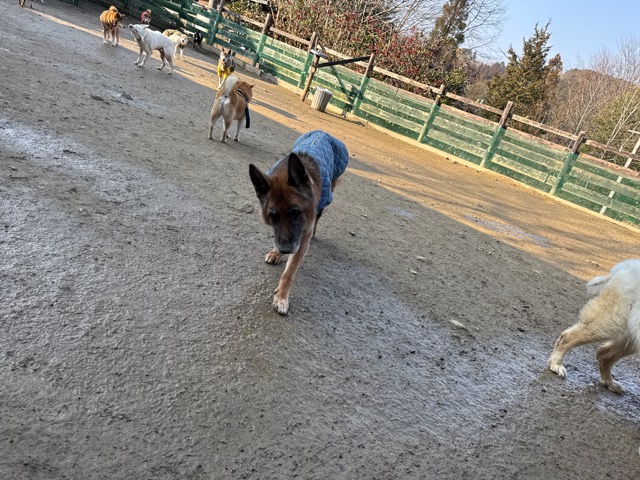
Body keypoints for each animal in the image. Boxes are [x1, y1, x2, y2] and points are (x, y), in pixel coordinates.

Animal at [249, 130, 349, 315]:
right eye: (272, 215)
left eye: (296, 212)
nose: (285, 250)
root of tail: (323, 132)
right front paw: (276, 252)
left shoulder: (302, 237)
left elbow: (289, 271)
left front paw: (281, 297)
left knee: (318, 216)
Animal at [548, 259, 640, 394]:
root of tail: (623, 266)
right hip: (609, 322)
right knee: (567, 338)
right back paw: (556, 364)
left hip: (630, 336)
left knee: (603, 354)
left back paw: (609, 383)